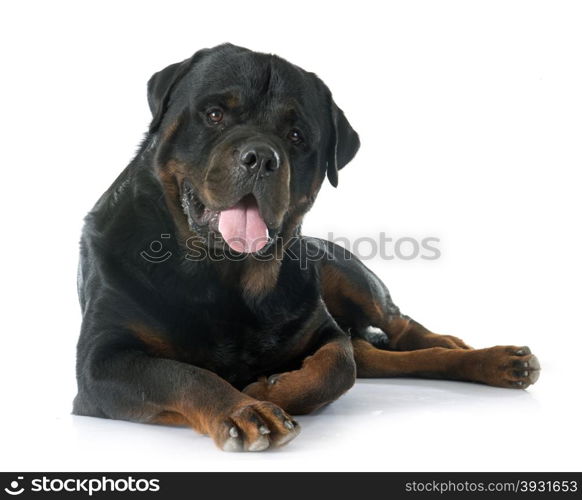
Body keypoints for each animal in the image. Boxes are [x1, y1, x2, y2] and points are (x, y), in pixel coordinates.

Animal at [74, 44, 544, 454]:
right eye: (214, 114)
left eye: (296, 135)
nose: (261, 157)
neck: (223, 279)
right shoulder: (101, 363)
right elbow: (184, 375)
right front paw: (244, 410)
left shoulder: (323, 331)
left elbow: (337, 367)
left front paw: (270, 387)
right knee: (379, 354)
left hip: (347, 274)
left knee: (398, 328)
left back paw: (482, 354)